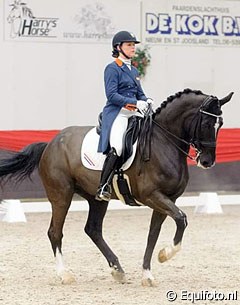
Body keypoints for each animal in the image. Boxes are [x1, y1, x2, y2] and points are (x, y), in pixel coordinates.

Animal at [0, 88, 232, 284]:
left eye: (220, 124)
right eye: (206, 124)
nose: (207, 161)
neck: (164, 142)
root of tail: (51, 143)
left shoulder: (167, 199)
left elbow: (153, 234)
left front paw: (147, 274)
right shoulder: (152, 196)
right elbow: (181, 219)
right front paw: (165, 255)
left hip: (96, 198)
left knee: (93, 229)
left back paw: (117, 269)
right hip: (61, 195)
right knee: (55, 232)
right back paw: (65, 274)